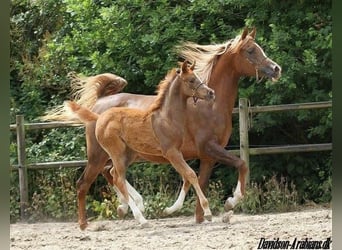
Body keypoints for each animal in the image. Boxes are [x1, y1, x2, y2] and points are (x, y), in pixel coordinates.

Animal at [65, 61, 215, 226]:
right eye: (191, 80)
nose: (211, 93)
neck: (167, 118)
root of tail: (99, 117)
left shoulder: (178, 153)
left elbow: (186, 177)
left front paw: (169, 210)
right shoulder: (171, 152)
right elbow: (191, 174)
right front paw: (208, 212)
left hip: (128, 155)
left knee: (113, 174)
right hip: (111, 154)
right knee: (113, 179)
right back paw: (138, 218)